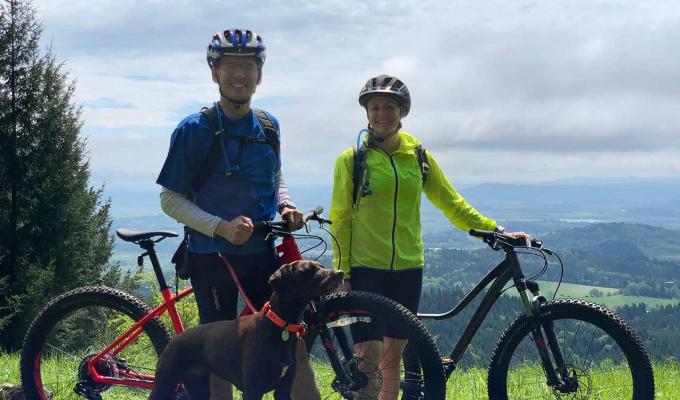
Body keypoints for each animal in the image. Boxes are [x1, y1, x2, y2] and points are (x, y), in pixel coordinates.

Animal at [147, 260, 342, 400]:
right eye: (307, 271)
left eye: (321, 267)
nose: (339, 273)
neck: (280, 326)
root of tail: (175, 338)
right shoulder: (253, 390)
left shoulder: (283, 389)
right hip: (164, 383)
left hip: (198, 388)